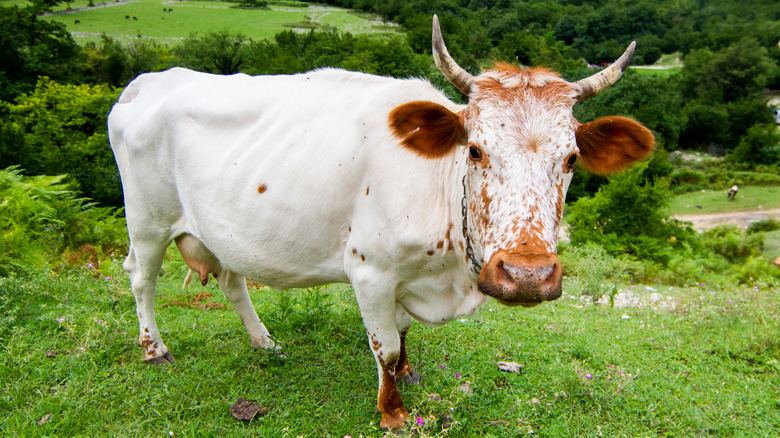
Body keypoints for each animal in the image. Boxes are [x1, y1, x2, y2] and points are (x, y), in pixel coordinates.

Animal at [105, 14, 652, 432]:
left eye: (571, 159)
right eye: (475, 149)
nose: (527, 275)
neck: (448, 274)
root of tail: (152, 80)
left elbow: (404, 334)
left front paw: (408, 373)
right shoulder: (369, 272)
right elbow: (385, 347)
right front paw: (392, 412)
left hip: (221, 228)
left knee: (231, 280)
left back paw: (264, 342)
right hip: (148, 220)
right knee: (142, 278)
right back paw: (154, 349)